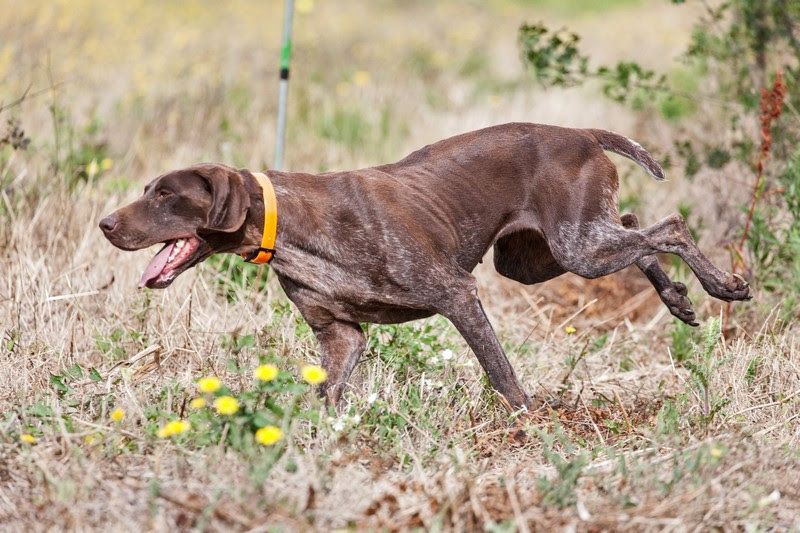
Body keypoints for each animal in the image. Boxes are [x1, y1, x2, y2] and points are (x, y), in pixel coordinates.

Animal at [100, 123, 752, 408]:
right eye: (148, 190)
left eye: (165, 195)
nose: (106, 224)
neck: (294, 228)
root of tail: (580, 132)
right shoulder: (342, 337)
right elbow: (324, 395)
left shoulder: (456, 294)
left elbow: (499, 371)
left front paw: (526, 420)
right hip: (540, 255)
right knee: (639, 231)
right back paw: (677, 297)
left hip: (576, 247)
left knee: (668, 228)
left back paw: (721, 284)